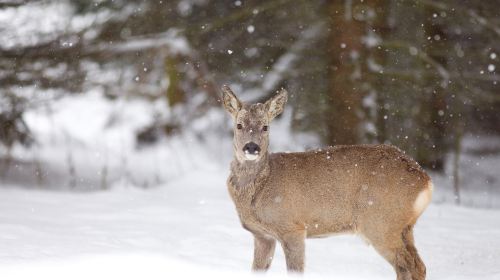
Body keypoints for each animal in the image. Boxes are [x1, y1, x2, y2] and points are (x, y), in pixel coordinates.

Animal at [221, 85, 432, 280]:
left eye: (266, 127)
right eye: (239, 125)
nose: (251, 147)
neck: (259, 189)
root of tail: (426, 181)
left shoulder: (293, 227)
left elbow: (295, 270)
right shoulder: (263, 236)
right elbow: (256, 269)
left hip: (380, 222)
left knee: (407, 265)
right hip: (404, 227)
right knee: (418, 265)